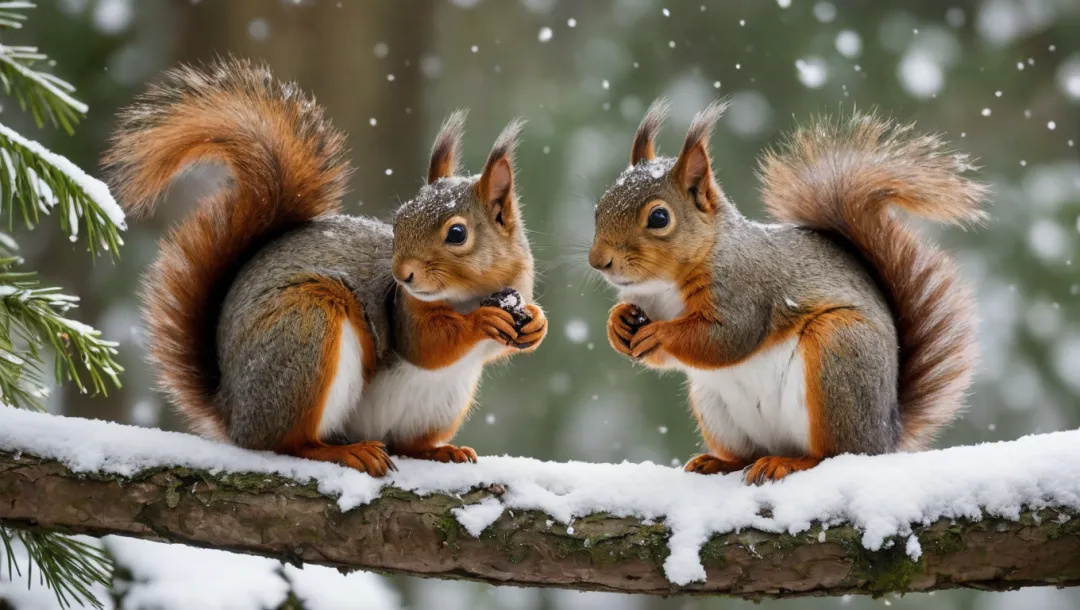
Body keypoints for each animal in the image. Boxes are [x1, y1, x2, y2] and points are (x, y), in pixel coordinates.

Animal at [103, 57, 548, 475]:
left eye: (457, 234)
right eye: (399, 219)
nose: (401, 274)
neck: (470, 292)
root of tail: (233, 412)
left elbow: (496, 348)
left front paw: (537, 323)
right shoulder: (403, 308)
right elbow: (426, 344)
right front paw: (481, 322)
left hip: (442, 404)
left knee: (406, 445)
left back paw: (440, 451)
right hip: (306, 329)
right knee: (289, 443)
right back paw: (346, 451)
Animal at [591, 99, 989, 483]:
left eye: (659, 218)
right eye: (598, 208)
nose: (599, 261)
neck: (665, 285)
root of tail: (885, 434)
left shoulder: (745, 290)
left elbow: (725, 338)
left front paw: (660, 333)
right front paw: (617, 323)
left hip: (837, 354)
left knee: (831, 454)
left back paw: (788, 463)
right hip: (715, 407)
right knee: (747, 454)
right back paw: (721, 462)